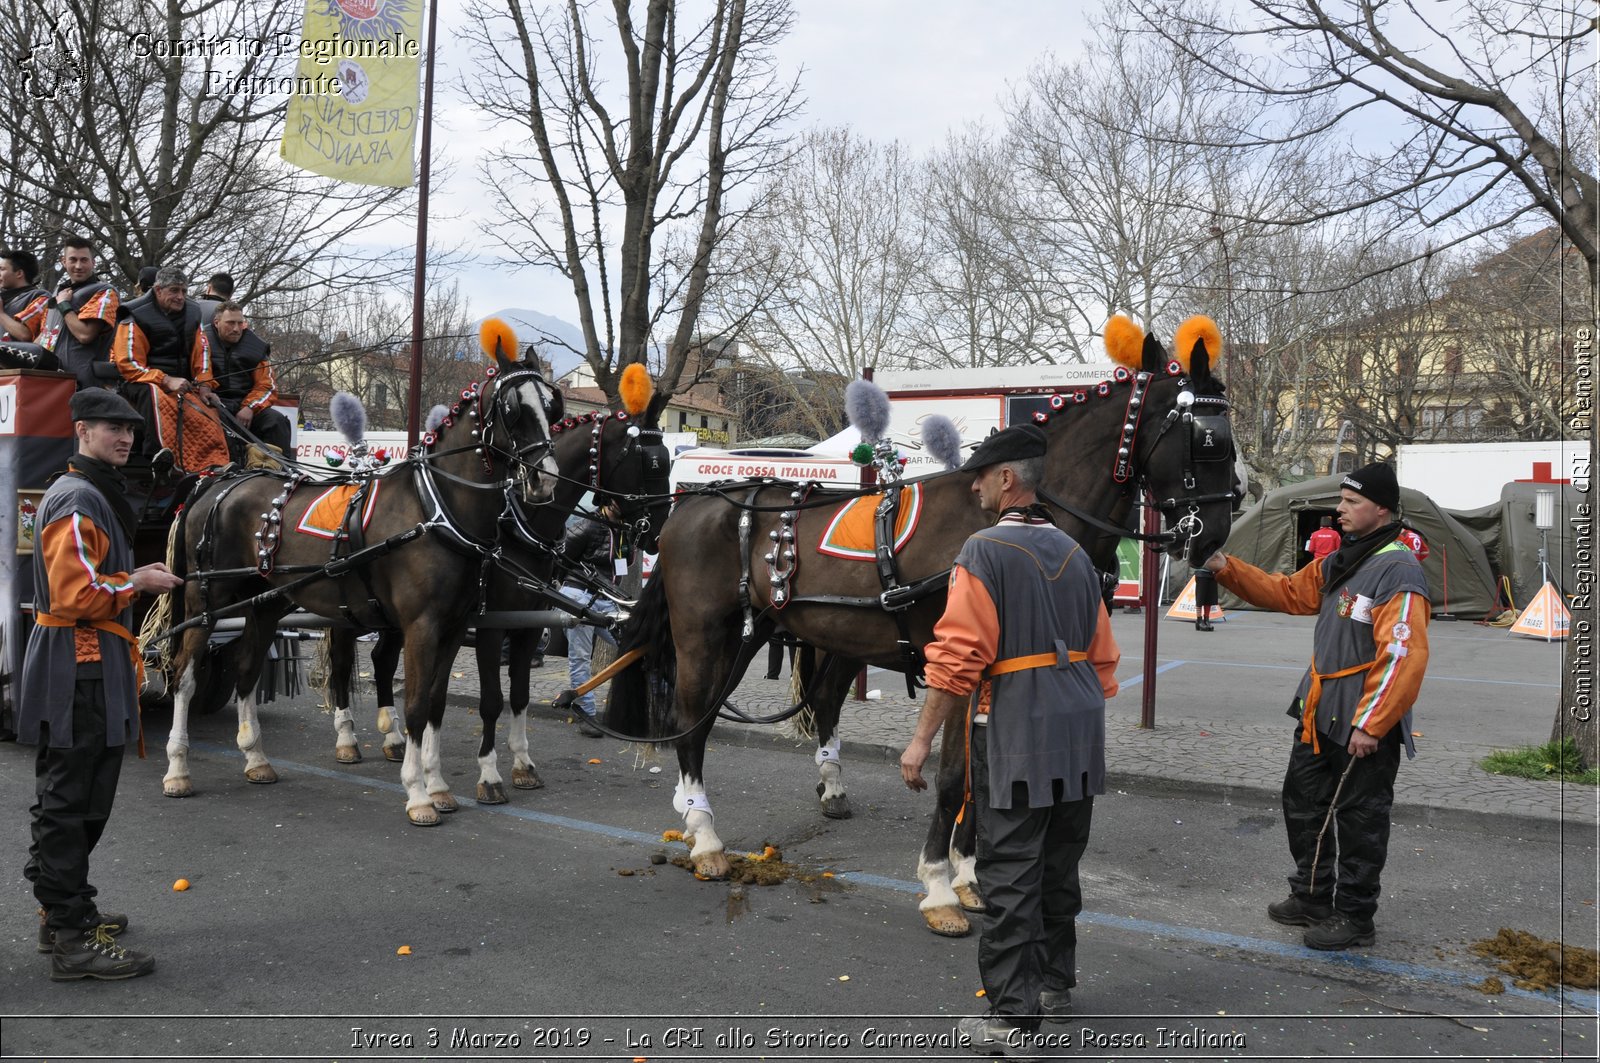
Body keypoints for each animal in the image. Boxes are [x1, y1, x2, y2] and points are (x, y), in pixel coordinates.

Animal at [162, 328, 563, 826]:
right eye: (512, 409)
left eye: (552, 407)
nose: (546, 481)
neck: (436, 507)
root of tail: (217, 482)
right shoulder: (421, 627)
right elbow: (415, 705)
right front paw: (418, 793)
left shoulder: (453, 628)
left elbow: (435, 703)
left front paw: (437, 785)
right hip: (206, 602)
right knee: (184, 675)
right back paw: (178, 768)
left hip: (264, 603)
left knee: (247, 671)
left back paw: (255, 759)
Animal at [324, 377, 675, 800]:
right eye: (651, 463)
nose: (659, 532)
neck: (520, 524)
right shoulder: (492, 625)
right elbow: (492, 700)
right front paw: (489, 773)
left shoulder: (527, 625)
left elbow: (519, 695)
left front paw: (522, 764)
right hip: (349, 610)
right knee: (343, 664)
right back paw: (346, 740)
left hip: (391, 614)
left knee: (382, 660)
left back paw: (392, 738)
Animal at [604, 320, 1241, 909]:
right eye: (1206, 440)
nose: (1215, 534)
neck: (1015, 519)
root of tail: (692, 504)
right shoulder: (958, 662)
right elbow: (955, 776)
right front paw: (940, 880)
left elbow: (982, 775)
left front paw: (968, 872)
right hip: (704, 636)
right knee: (692, 721)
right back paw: (705, 836)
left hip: (760, 633)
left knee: (757, 710)